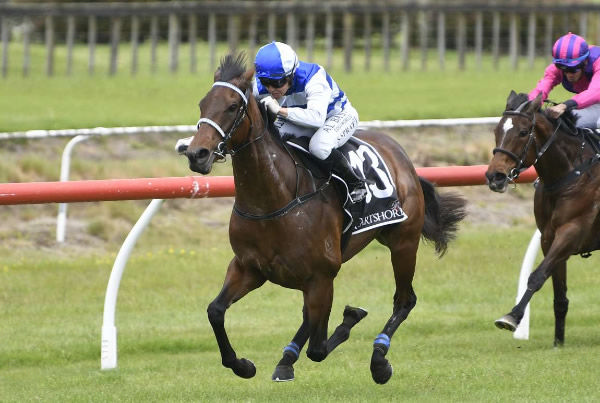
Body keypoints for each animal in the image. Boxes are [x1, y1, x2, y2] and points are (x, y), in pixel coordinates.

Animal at [183, 54, 468, 386]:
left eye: (232, 107)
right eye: (202, 104)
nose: (197, 154)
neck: (275, 199)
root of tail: (401, 155)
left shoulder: (321, 275)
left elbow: (318, 349)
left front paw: (352, 321)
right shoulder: (248, 267)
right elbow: (215, 311)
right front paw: (242, 365)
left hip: (403, 242)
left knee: (404, 300)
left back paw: (379, 359)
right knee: (310, 316)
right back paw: (287, 358)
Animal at [486, 91, 600, 348]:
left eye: (522, 132)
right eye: (497, 130)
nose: (495, 176)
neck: (569, 174)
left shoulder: (572, 231)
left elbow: (537, 276)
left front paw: (512, 317)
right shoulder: (549, 237)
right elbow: (558, 293)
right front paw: (558, 342)